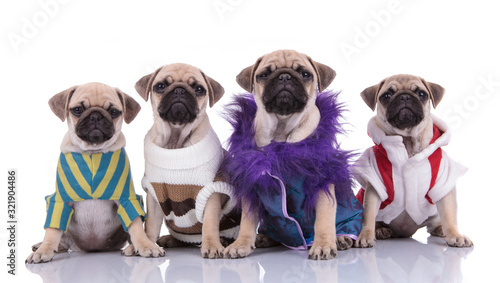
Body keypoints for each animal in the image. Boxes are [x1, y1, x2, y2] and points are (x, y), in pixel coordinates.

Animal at [26, 83, 164, 266]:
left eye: (114, 112)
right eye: (77, 110)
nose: (96, 116)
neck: (92, 153)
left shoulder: (126, 199)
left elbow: (135, 225)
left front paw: (145, 245)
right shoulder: (60, 201)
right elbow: (53, 230)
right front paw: (44, 250)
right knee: (62, 240)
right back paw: (42, 246)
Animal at [130, 63, 241, 260]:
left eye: (199, 89)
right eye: (160, 86)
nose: (179, 90)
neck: (176, 142)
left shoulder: (211, 192)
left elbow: (210, 223)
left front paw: (212, 245)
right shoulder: (154, 195)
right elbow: (150, 225)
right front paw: (146, 244)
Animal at [225, 49, 358, 262]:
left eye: (305, 74)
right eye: (264, 75)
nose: (285, 76)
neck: (281, 130)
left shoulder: (322, 180)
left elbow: (324, 218)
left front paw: (323, 244)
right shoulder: (252, 183)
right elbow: (247, 220)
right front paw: (241, 244)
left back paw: (341, 238)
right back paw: (265, 237)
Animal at [352, 75, 472, 248]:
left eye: (422, 94)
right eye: (386, 96)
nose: (404, 97)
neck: (408, 142)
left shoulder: (443, 182)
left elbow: (449, 215)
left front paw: (455, 235)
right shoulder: (375, 185)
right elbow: (368, 214)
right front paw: (365, 235)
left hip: (433, 214)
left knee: (435, 224)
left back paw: (441, 230)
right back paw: (381, 230)